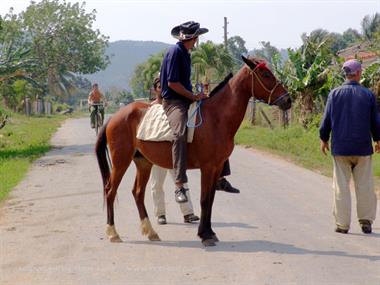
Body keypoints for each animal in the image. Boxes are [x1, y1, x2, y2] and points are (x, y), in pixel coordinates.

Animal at [95, 55, 290, 244]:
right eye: (266, 75)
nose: (288, 99)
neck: (217, 117)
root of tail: (114, 117)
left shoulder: (217, 167)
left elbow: (210, 200)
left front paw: (209, 232)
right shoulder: (208, 167)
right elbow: (204, 200)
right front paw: (204, 235)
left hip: (143, 162)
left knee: (137, 193)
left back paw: (150, 232)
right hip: (121, 161)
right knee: (110, 191)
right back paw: (113, 233)